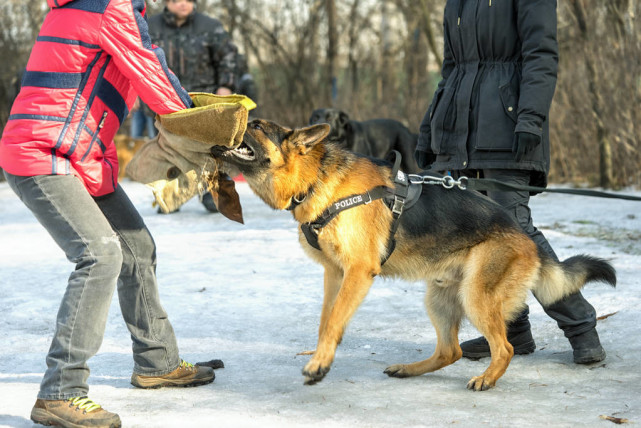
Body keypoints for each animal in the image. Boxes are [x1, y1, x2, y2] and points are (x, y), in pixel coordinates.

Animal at [214, 118, 616, 390]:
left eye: (257, 126)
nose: (233, 117)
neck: (317, 178)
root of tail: (526, 238)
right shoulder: (334, 274)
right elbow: (327, 321)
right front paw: (322, 356)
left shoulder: (358, 272)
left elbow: (333, 320)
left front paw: (318, 366)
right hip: (439, 297)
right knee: (450, 351)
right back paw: (409, 369)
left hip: (475, 296)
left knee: (504, 347)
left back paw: (486, 378)